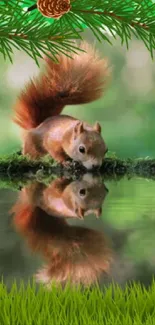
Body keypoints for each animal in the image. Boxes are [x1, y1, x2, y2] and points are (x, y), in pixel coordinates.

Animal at [13, 41, 110, 170]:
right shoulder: (53, 140)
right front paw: (65, 162)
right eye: (81, 149)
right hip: (32, 144)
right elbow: (54, 151)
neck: (68, 134)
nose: (96, 166)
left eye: (106, 150)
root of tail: (38, 125)